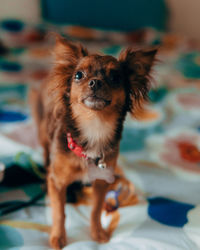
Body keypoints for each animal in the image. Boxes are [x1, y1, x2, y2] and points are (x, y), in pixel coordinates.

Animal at [30, 34, 157, 248]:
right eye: (79, 75)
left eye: (115, 77)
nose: (95, 82)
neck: (94, 126)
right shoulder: (57, 182)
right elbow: (58, 212)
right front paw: (58, 237)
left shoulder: (102, 180)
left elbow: (96, 209)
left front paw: (97, 232)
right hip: (42, 133)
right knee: (46, 155)